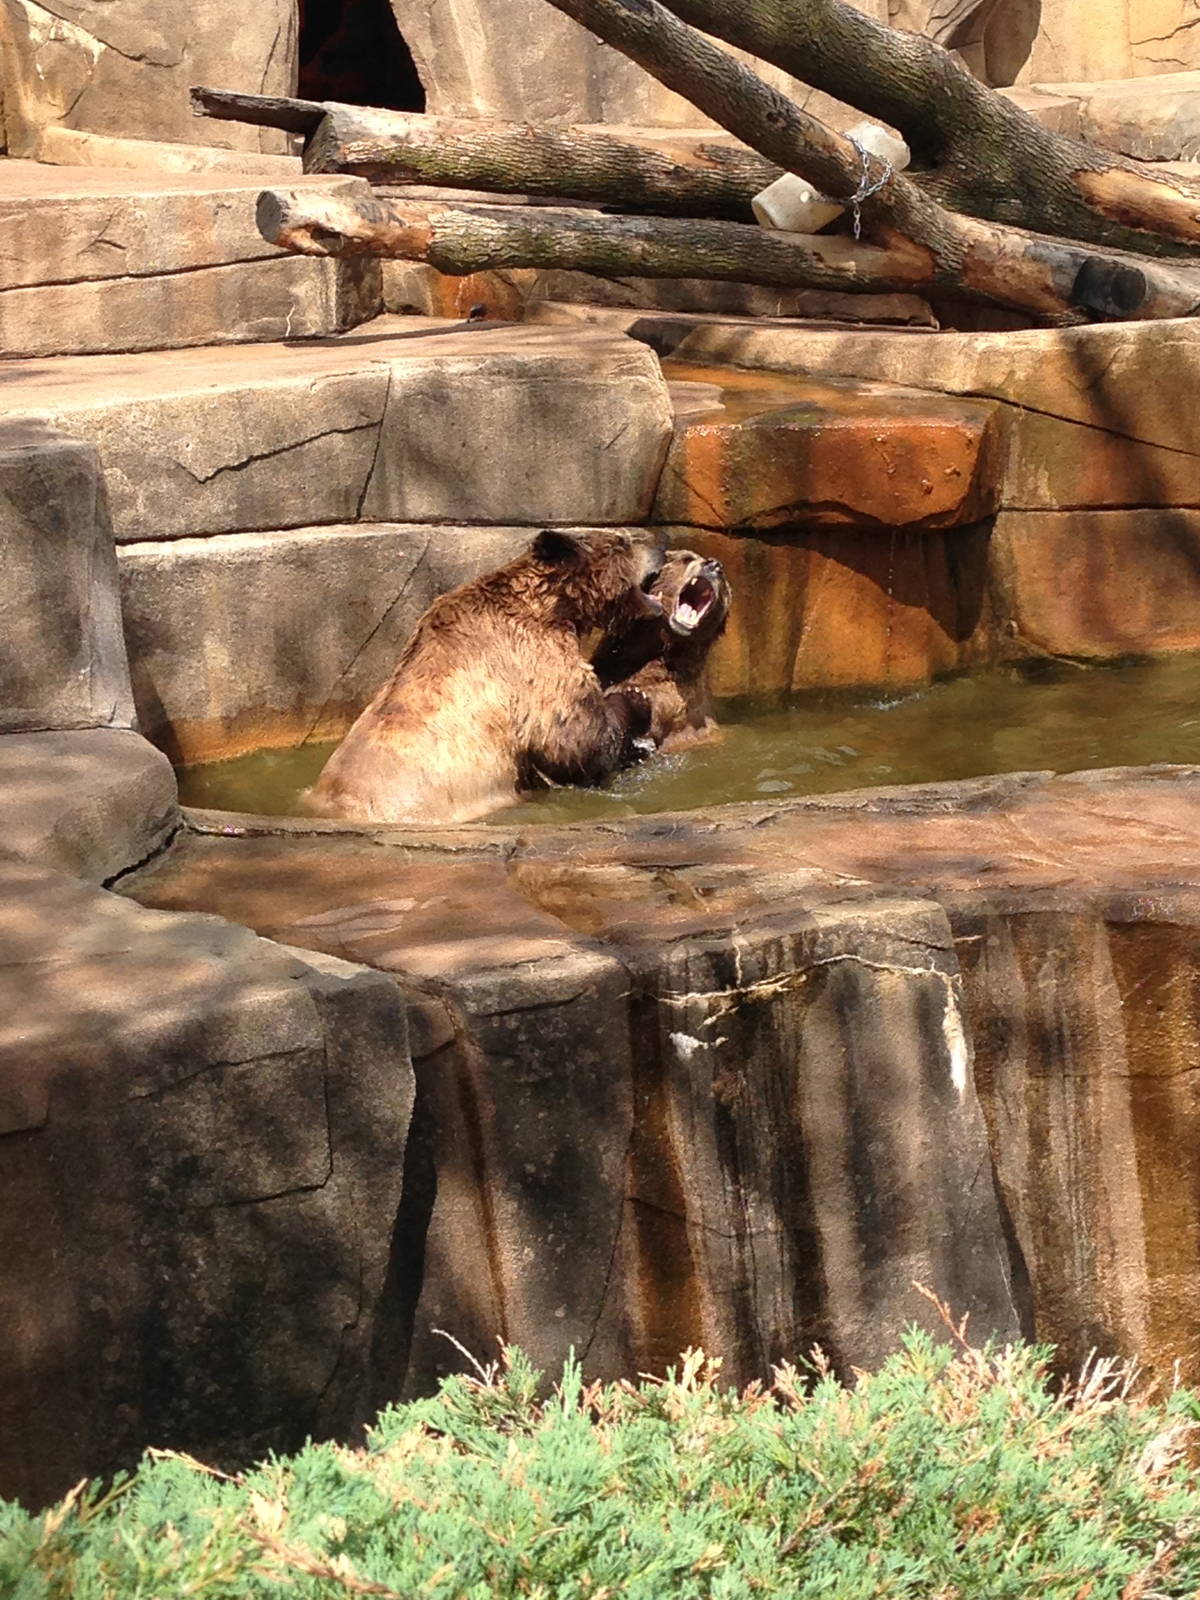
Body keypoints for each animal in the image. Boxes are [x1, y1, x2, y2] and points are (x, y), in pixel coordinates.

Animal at [304, 529, 663, 825]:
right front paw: (634, 701)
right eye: (623, 540)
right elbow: (576, 739)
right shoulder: (530, 657)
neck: (552, 607)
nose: (661, 542)